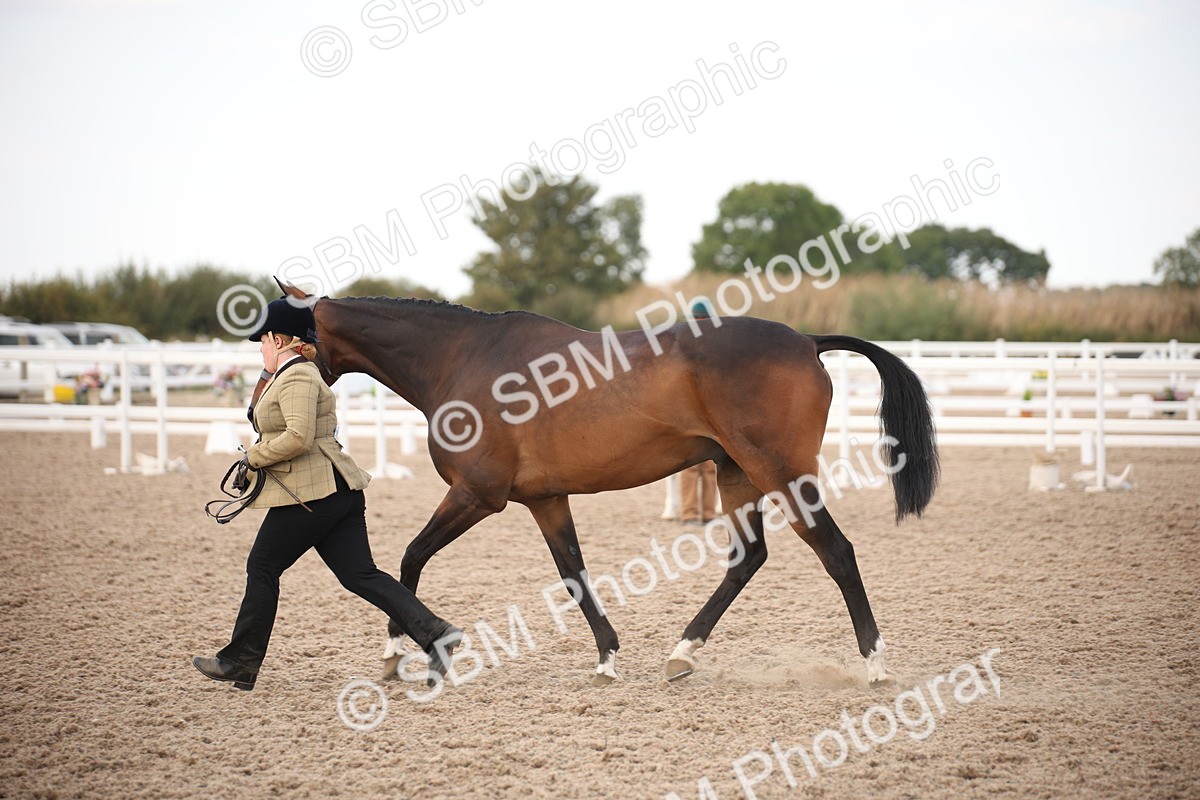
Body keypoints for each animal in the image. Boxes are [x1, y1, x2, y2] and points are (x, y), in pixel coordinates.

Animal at [271, 281, 939, 686]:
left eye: (285, 340)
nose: (264, 395)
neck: (462, 359)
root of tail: (806, 340)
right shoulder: (544, 499)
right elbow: (573, 573)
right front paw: (607, 657)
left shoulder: (476, 496)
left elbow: (408, 558)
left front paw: (397, 655)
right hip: (736, 474)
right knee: (748, 558)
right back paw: (681, 653)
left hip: (780, 473)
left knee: (836, 551)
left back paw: (875, 665)